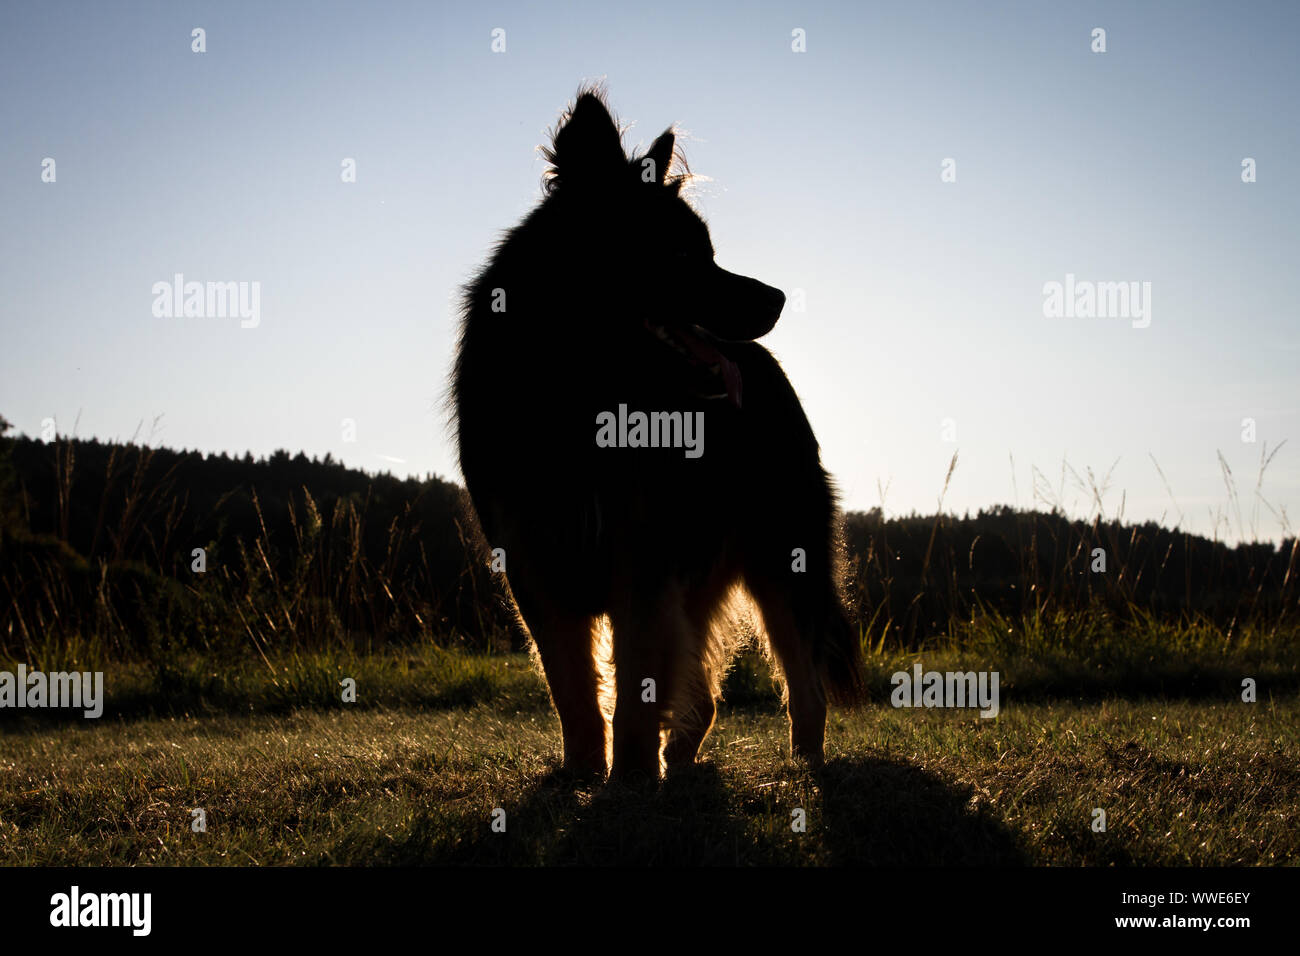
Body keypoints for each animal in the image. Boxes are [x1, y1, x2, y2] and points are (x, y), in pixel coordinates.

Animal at [452, 87, 868, 785]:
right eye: (679, 255)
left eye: (708, 250)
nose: (780, 299)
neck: (582, 396)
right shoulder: (539, 569)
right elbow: (574, 690)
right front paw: (584, 775)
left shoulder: (643, 567)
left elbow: (636, 691)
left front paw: (629, 782)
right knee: (706, 693)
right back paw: (685, 762)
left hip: (781, 567)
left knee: (804, 686)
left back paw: (802, 770)